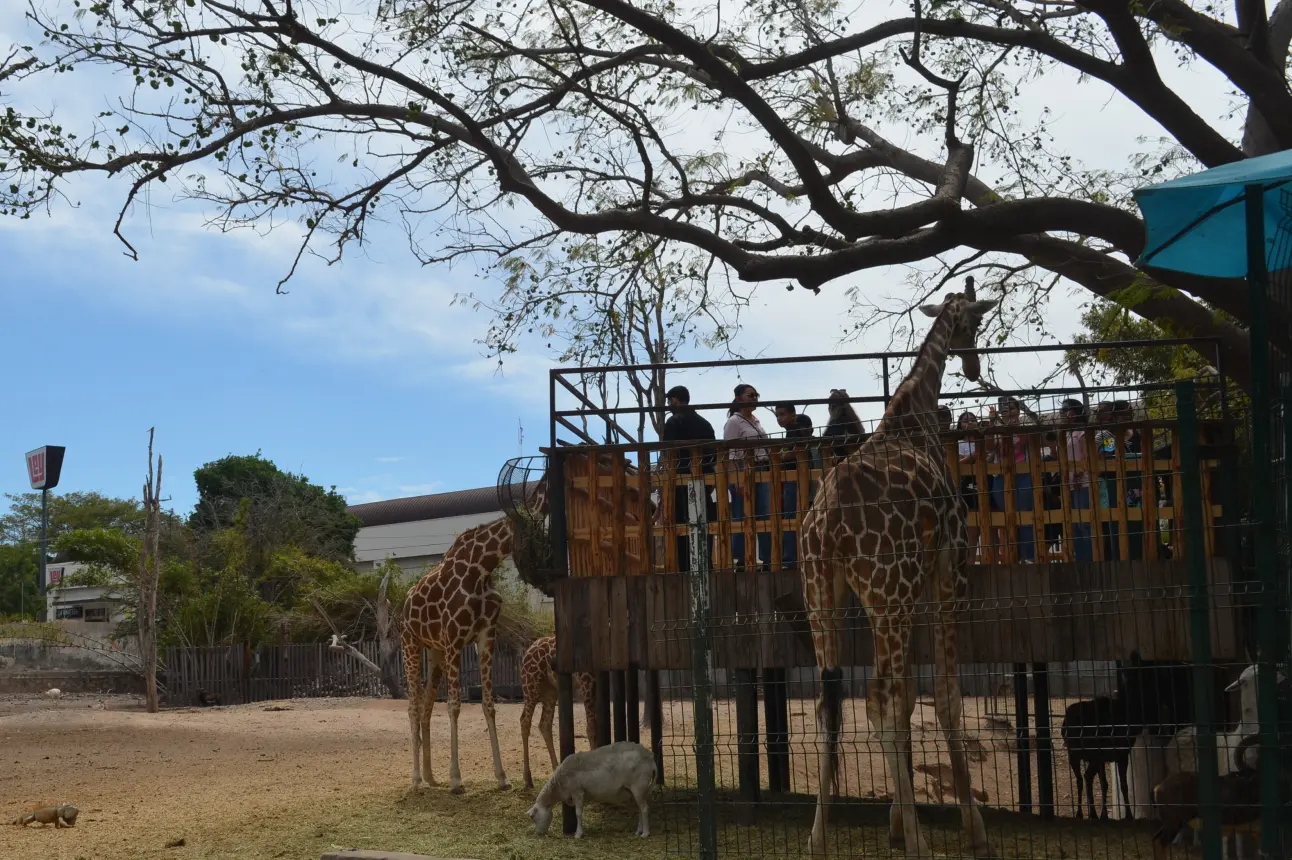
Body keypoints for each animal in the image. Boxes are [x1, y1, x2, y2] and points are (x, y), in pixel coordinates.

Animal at [516, 632, 596, 785]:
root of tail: (527, 651)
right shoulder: (587, 678)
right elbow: (591, 728)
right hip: (530, 686)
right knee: (524, 721)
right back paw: (527, 779)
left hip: (550, 693)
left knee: (544, 724)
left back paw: (556, 770)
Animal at [524, 738, 656, 836]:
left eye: (533, 817)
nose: (538, 834)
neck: (559, 785)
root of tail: (650, 759)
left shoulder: (578, 792)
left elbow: (578, 813)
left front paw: (578, 834)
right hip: (637, 790)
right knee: (640, 809)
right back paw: (638, 831)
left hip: (638, 786)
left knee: (644, 809)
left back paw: (645, 833)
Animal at [795, 277, 997, 852]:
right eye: (976, 320)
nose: (972, 364)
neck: (915, 414)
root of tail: (828, 525)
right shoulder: (949, 564)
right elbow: (943, 697)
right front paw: (969, 827)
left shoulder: (905, 588)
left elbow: (908, 701)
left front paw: (896, 822)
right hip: (890, 596)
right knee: (878, 700)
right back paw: (923, 844)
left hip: (823, 597)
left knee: (832, 706)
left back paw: (818, 839)